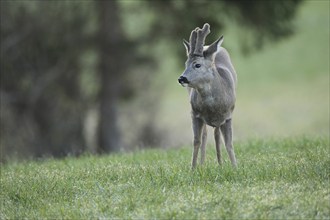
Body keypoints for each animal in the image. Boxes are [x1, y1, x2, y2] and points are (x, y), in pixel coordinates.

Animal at [178, 23, 237, 168]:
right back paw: (203, 164)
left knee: (216, 135)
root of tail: (208, 46)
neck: (213, 107)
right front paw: (193, 168)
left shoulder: (228, 116)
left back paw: (220, 164)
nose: (181, 78)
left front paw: (235, 167)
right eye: (185, 64)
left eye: (197, 65)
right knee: (205, 135)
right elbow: (196, 141)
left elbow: (229, 143)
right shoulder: (194, 114)